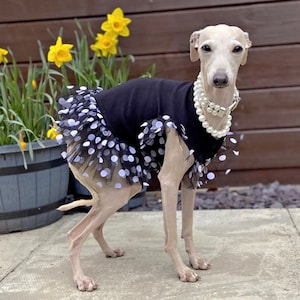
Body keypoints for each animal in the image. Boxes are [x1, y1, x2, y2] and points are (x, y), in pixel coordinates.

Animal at [55, 24, 251, 292]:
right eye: (206, 47)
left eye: (237, 48)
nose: (220, 80)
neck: (206, 109)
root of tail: (71, 138)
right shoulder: (169, 181)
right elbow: (171, 235)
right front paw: (182, 271)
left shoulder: (189, 180)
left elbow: (187, 228)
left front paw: (194, 261)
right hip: (116, 192)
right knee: (74, 235)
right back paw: (81, 279)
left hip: (116, 190)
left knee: (94, 227)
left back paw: (109, 251)